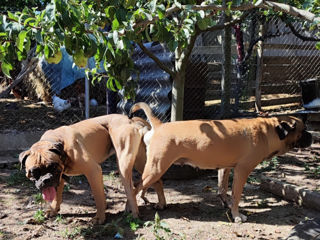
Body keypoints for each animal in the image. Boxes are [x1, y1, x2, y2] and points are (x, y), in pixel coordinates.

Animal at [18, 113, 166, 224]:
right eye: (34, 172)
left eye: (52, 167)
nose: (46, 180)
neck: (59, 143)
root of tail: (131, 120)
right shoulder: (59, 178)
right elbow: (57, 196)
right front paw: (53, 210)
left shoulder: (93, 171)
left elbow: (98, 197)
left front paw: (99, 217)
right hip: (140, 162)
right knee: (156, 180)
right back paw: (161, 204)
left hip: (124, 165)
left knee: (131, 189)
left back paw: (134, 214)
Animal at [129, 101, 312, 223]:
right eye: (303, 130)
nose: (311, 136)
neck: (268, 131)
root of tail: (159, 125)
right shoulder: (241, 171)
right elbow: (236, 196)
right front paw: (237, 215)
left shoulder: (225, 168)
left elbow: (222, 189)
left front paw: (227, 205)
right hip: (156, 169)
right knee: (135, 188)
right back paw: (132, 210)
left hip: (155, 168)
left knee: (154, 185)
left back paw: (160, 204)